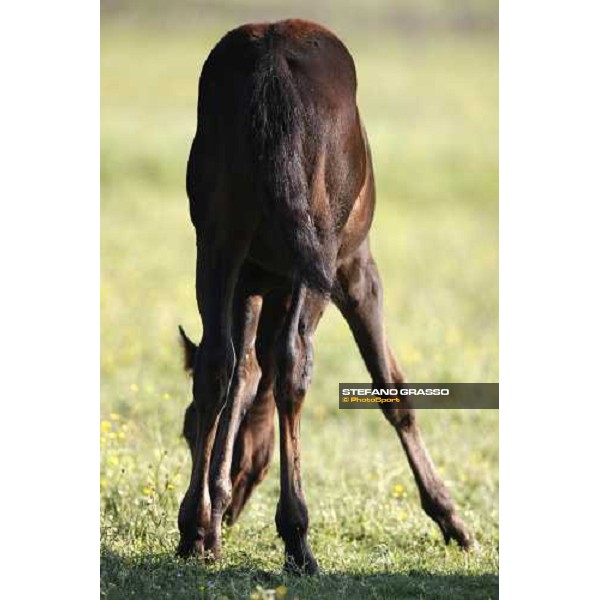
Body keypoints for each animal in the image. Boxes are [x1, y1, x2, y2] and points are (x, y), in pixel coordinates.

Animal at [178, 18, 474, 572]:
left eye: (185, 432)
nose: (226, 518)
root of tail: (270, 62)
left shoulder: (250, 280)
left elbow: (240, 372)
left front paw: (211, 524)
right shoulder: (354, 268)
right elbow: (391, 386)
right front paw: (452, 517)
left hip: (216, 236)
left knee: (215, 364)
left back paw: (189, 529)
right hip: (317, 245)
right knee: (293, 363)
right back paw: (297, 538)